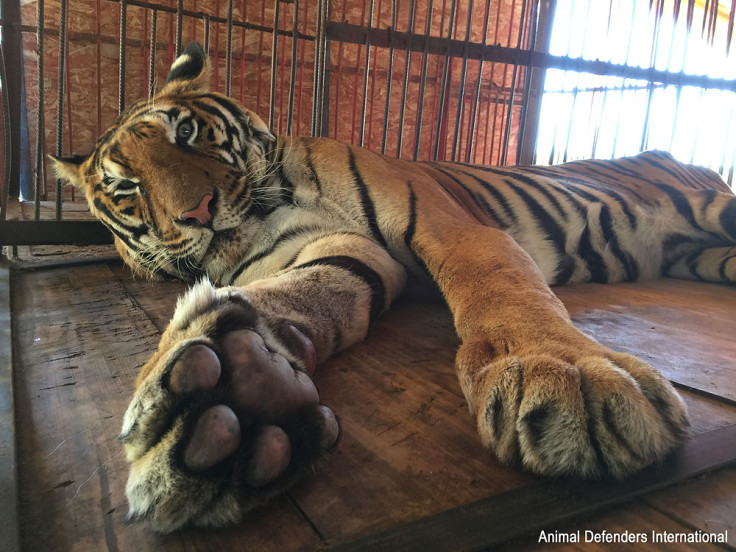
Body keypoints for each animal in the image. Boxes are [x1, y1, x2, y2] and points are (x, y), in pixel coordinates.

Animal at [51, 43, 736, 532]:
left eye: (187, 134)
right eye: (126, 188)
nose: (196, 211)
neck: (268, 211)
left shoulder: (450, 224)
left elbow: (499, 284)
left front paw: (567, 376)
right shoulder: (342, 253)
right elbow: (303, 293)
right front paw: (231, 389)